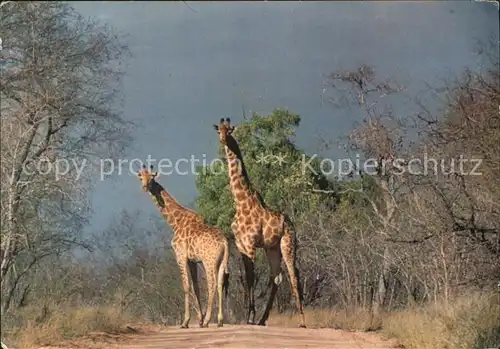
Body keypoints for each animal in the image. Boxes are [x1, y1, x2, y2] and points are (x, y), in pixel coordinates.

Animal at [137, 164, 230, 328]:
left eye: (152, 178)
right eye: (141, 177)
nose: (145, 187)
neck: (175, 223)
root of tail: (224, 242)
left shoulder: (180, 255)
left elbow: (186, 286)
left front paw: (186, 321)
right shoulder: (192, 260)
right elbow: (195, 287)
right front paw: (199, 319)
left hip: (209, 261)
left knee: (212, 285)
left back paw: (208, 321)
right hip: (221, 261)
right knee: (219, 283)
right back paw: (219, 320)